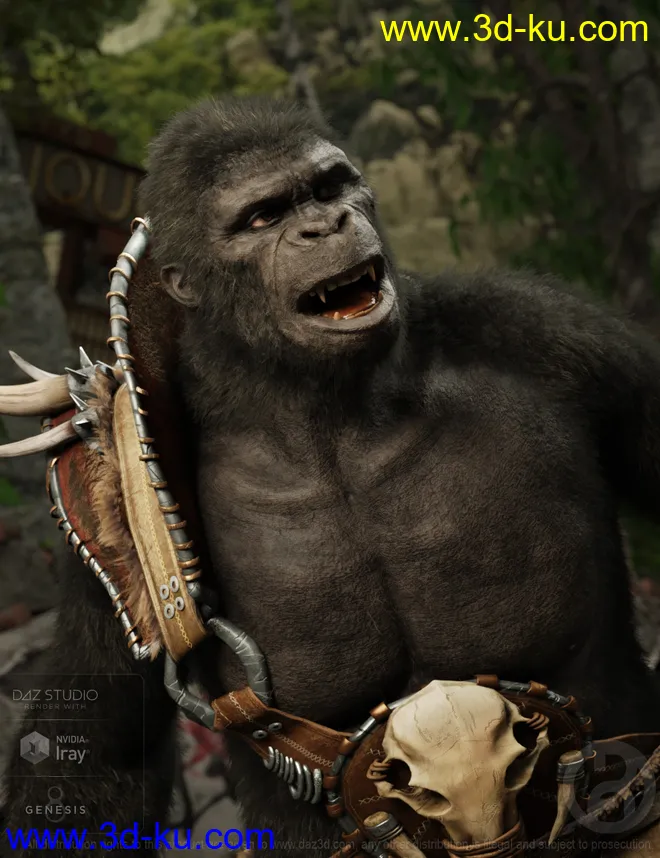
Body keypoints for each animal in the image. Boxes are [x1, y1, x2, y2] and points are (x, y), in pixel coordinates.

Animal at [3, 95, 660, 857]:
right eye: (263, 217)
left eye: (327, 188)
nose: (327, 225)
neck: (326, 408)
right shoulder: (101, 523)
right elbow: (105, 746)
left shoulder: (553, 334)